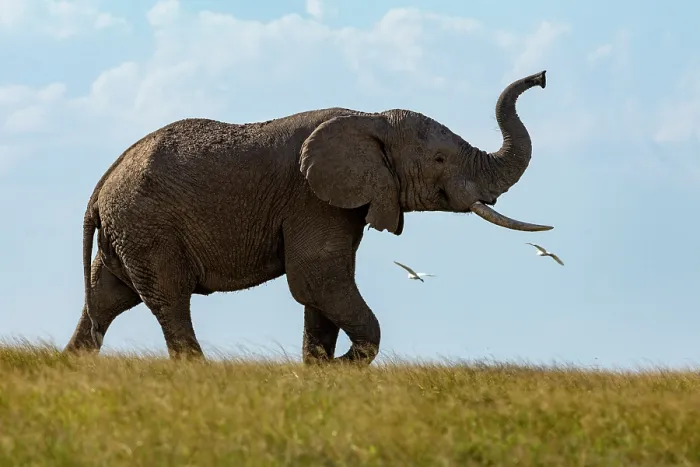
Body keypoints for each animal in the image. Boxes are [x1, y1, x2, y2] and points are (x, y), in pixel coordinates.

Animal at [63, 70, 552, 365]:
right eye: (438, 159)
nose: (541, 78)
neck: (369, 118)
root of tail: (100, 188)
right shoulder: (310, 199)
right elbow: (316, 278)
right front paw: (340, 367)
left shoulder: (340, 204)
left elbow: (323, 287)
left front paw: (319, 369)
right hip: (148, 226)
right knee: (168, 298)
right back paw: (198, 371)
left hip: (127, 231)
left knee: (106, 299)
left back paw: (72, 365)